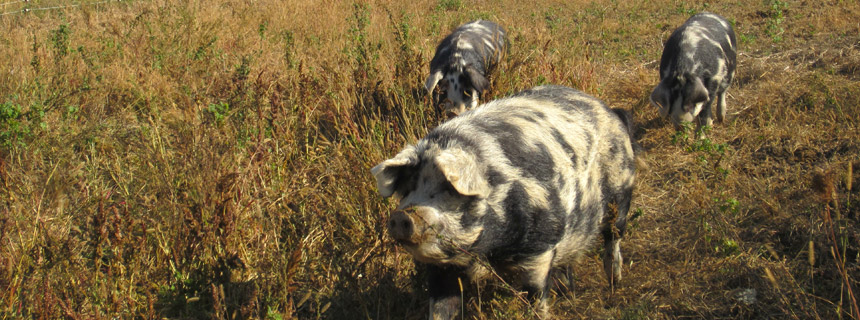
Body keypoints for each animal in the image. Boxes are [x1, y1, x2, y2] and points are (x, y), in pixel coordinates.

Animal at [370, 84, 640, 318]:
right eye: (408, 188)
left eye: (448, 187)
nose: (402, 215)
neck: (490, 251)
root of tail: (609, 110)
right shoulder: (441, 269)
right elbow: (441, 309)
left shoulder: (540, 248)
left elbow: (536, 296)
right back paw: (569, 293)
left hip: (622, 191)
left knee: (614, 236)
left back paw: (614, 283)